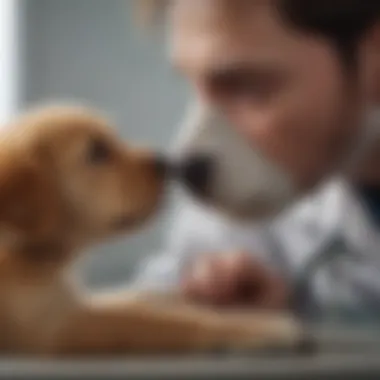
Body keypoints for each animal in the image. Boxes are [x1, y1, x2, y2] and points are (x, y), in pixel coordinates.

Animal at [0, 104, 304, 356]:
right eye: (97, 152)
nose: (165, 163)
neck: (27, 249)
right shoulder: (57, 327)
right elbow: (161, 323)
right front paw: (261, 327)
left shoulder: (74, 306)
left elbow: (133, 298)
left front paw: (186, 295)